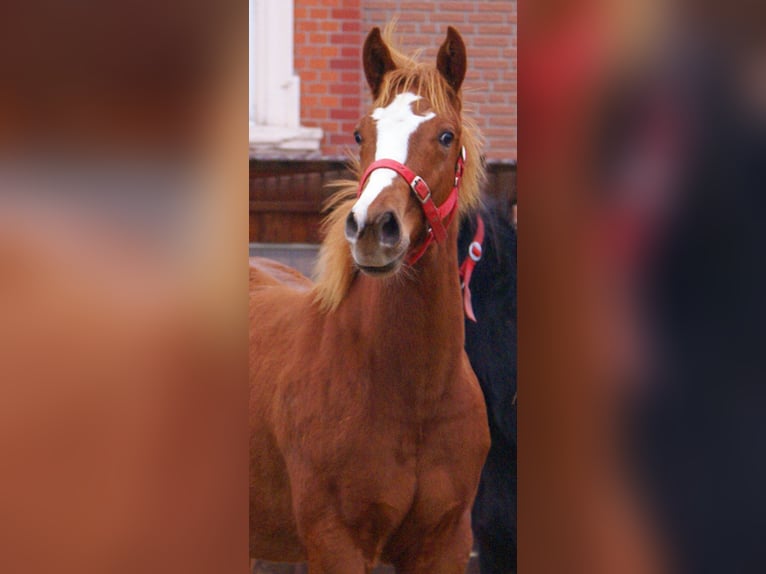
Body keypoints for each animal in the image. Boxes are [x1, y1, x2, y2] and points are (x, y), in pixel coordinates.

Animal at [250, 26, 490, 573]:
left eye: (446, 136)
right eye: (362, 134)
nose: (373, 229)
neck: (414, 394)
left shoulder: (445, 542)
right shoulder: (337, 542)